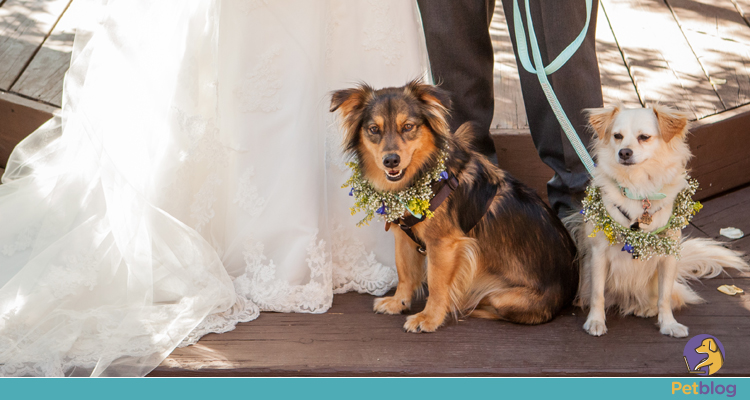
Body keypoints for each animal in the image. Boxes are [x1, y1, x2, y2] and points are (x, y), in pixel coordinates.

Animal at [330, 80, 580, 332]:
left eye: (408, 126)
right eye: (374, 129)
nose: (391, 160)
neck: (424, 173)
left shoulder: (443, 244)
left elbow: (437, 284)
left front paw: (429, 318)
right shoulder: (404, 238)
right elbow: (404, 271)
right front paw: (398, 302)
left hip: (504, 297)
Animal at [572, 104, 748, 338]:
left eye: (644, 137)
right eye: (617, 136)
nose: (624, 152)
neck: (638, 187)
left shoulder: (668, 257)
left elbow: (664, 297)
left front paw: (668, 324)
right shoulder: (598, 254)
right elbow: (597, 293)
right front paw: (595, 321)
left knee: (668, 296)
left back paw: (645, 308)